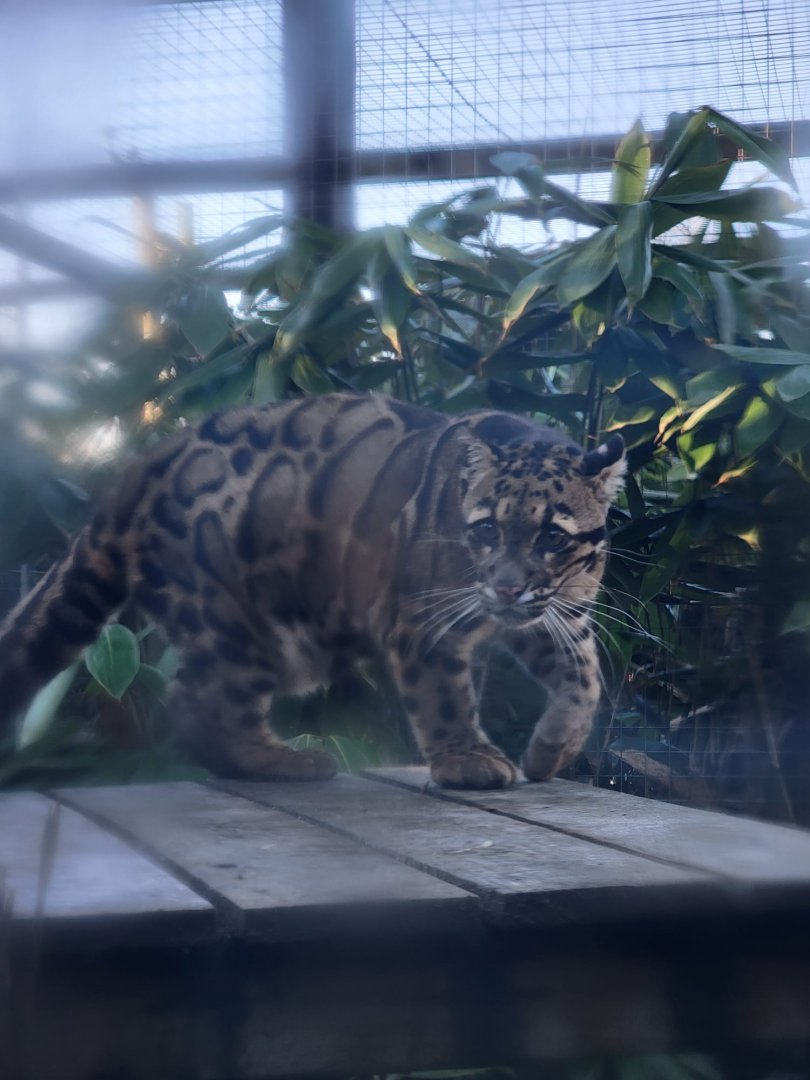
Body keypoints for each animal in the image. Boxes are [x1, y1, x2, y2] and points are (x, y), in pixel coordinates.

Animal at [0, 392, 625, 790]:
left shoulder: (557, 615)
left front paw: (551, 750)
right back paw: (282, 761)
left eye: (551, 536)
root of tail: (146, 463)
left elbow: (586, 680)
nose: (508, 586)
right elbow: (445, 695)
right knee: (201, 701)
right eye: (487, 529)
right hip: (241, 620)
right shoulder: (422, 619)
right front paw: (468, 759)